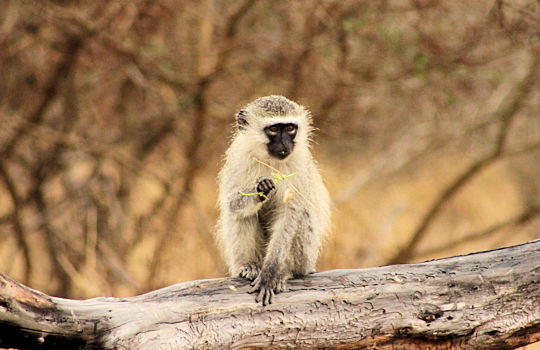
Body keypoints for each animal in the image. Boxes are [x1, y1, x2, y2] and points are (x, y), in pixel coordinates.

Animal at [215, 94, 330, 304]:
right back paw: (249, 265)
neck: (270, 160)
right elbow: (233, 203)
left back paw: (286, 271)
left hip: (306, 258)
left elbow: (289, 214)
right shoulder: (238, 156)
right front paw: (260, 189)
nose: (285, 144)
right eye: (274, 129)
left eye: (290, 128)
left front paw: (270, 274)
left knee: (303, 215)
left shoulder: (299, 162)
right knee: (241, 215)